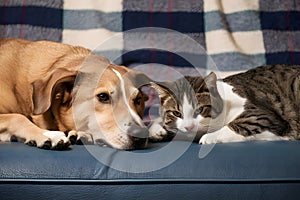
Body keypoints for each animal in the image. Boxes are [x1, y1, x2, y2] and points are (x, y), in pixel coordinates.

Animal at [149, 64, 300, 144]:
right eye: (176, 113)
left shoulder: (263, 117)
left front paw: (208, 137)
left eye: (200, 110)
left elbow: (235, 126)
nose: (189, 127)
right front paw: (156, 129)